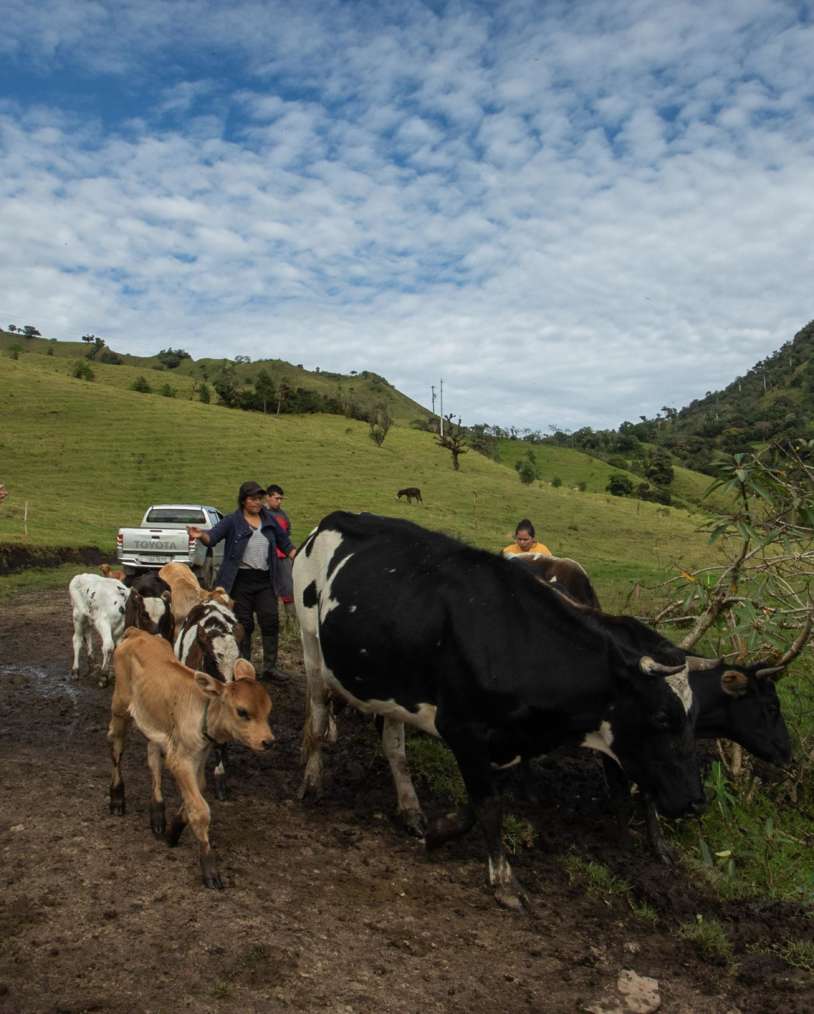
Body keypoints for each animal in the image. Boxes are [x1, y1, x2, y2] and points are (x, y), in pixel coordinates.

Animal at [108, 628, 273, 888]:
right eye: (242, 712)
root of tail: (136, 633)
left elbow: (197, 792)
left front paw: (172, 830)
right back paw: (116, 799)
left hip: (155, 725)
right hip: (120, 708)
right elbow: (200, 809)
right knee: (116, 747)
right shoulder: (180, 761)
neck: (204, 710)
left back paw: (157, 814)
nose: (268, 741)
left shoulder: (198, 756)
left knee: (153, 759)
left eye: (268, 709)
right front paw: (209, 867)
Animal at [293, 512, 704, 911]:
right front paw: (505, 883)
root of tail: (333, 519)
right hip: (311, 645)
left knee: (394, 746)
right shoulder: (461, 727)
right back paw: (312, 781)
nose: (697, 801)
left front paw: (438, 833)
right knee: (318, 716)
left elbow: (480, 804)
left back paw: (410, 808)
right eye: (662, 717)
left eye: (694, 718)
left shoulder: (508, 739)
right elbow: (489, 805)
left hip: (391, 677)